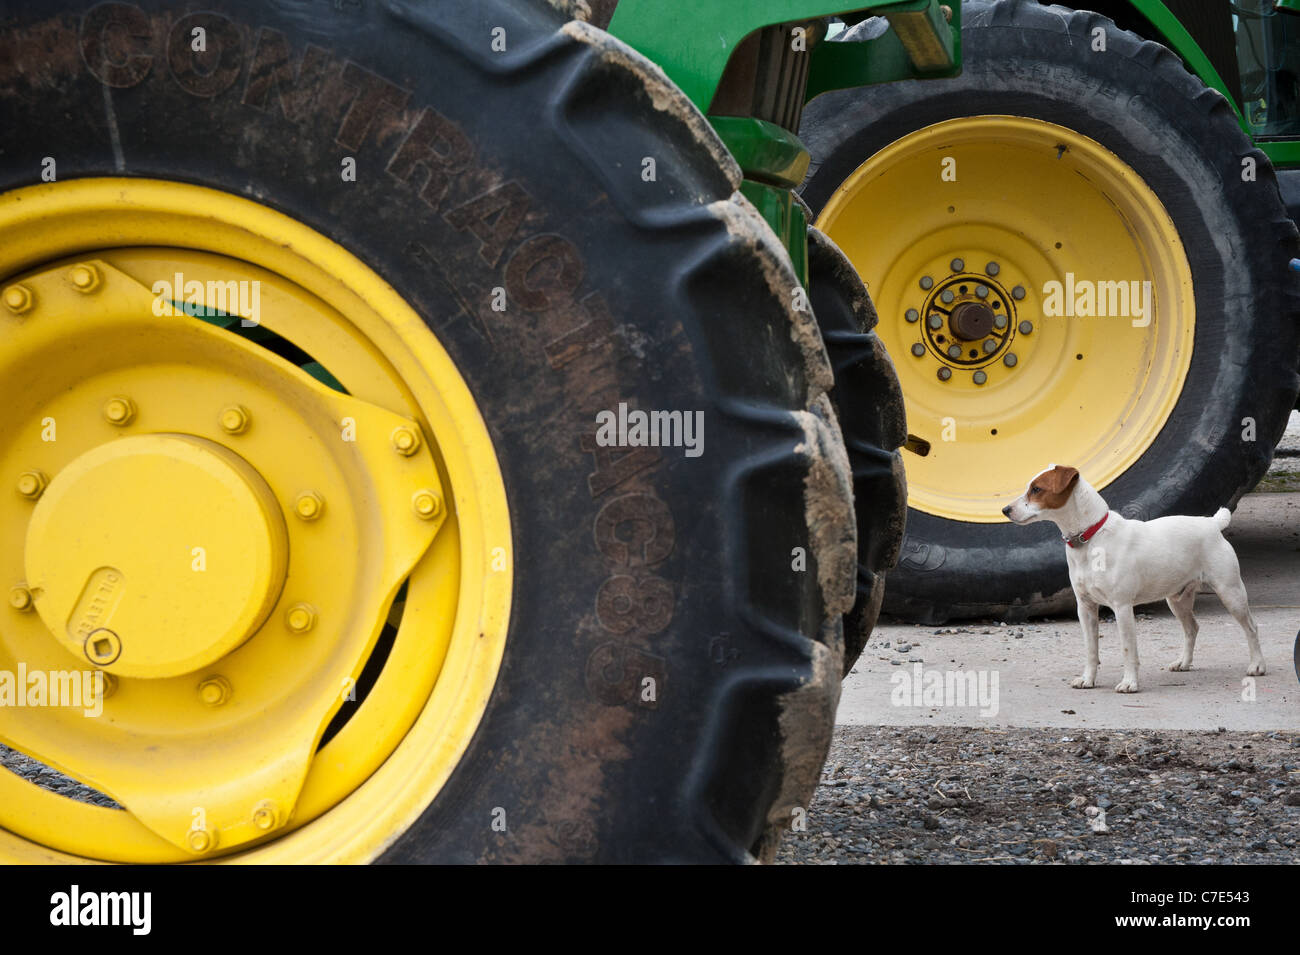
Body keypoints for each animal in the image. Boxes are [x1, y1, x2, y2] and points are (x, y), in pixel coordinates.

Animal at [998, 465, 1263, 696]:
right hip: (1177, 599)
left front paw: (1129, 683)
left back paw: (1257, 665)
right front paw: (1087, 679)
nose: (1005, 510)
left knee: (1251, 627)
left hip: (1230, 592)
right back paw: (1183, 663)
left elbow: (1128, 650)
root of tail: (1212, 523)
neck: (1091, 539)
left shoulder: (1122, 607)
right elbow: (1090, 649)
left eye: (1037, 489)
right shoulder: (1085, 607)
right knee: (1192, 628)